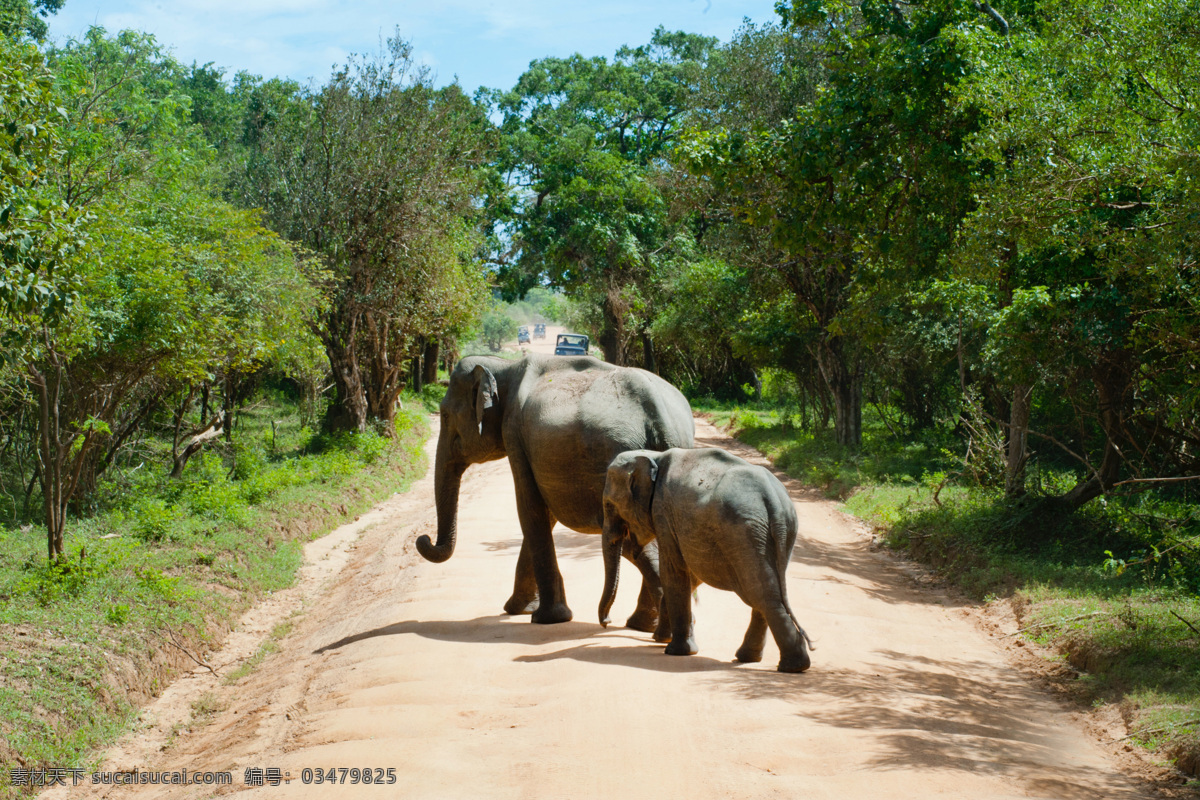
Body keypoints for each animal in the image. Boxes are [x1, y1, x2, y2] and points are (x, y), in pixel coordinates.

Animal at [415, 353, 694, 631]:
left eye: (445, 415)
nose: (423, 538)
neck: (504, 365)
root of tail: (664, 420)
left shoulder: (515, 433)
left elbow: (530, 508)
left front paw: (546, 617)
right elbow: (543, 514)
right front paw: (519, 609)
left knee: (625, 536)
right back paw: (645, 625)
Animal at [598, 448, 814, 673]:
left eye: (609, 505)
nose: (606, 622)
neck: (654, 456)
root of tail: (773, 500)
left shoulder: (663, 512)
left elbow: (674, 571)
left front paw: (676, 651)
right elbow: (690, 573)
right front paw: (664, 639)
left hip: (743, 533)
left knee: (761, 593)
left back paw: (791, 666)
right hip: (777, 532)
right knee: (766, 589)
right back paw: (756, 659)